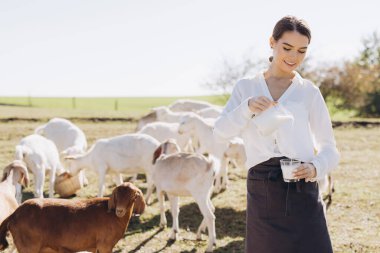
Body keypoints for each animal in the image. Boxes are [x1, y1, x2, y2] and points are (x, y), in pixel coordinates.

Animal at [0, 182, 145, 253]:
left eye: (133, 196)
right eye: (116, 195)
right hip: (28, 248)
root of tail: (14, 215)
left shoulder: (97, 247)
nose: (119, 210)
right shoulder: (105, 245)